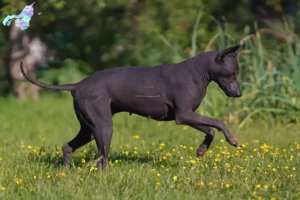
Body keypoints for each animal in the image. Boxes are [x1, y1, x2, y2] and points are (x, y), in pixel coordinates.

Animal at [20, 43, 244, 170]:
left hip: (89, 129)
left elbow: (210, 130)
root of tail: (77, 85)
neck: (197, 71)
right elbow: (218, 122)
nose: (239, 94)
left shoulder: (188, 116)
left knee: (68, 147)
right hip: (103, 128)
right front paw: (233, 139)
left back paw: (64, 172)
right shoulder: (184, 115)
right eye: (232, 73)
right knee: (101, 160)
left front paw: (201, 150)